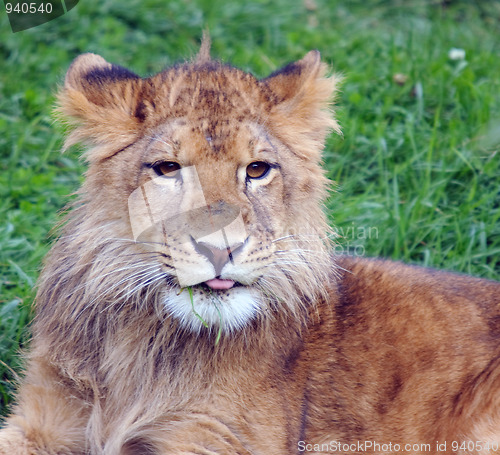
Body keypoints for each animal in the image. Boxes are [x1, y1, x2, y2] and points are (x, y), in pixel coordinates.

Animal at [0, 41, 500, 454]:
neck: (144, 343)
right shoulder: (41, 420)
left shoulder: (218, 440)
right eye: (167, 168)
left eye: (257, 170)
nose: (221, 248)